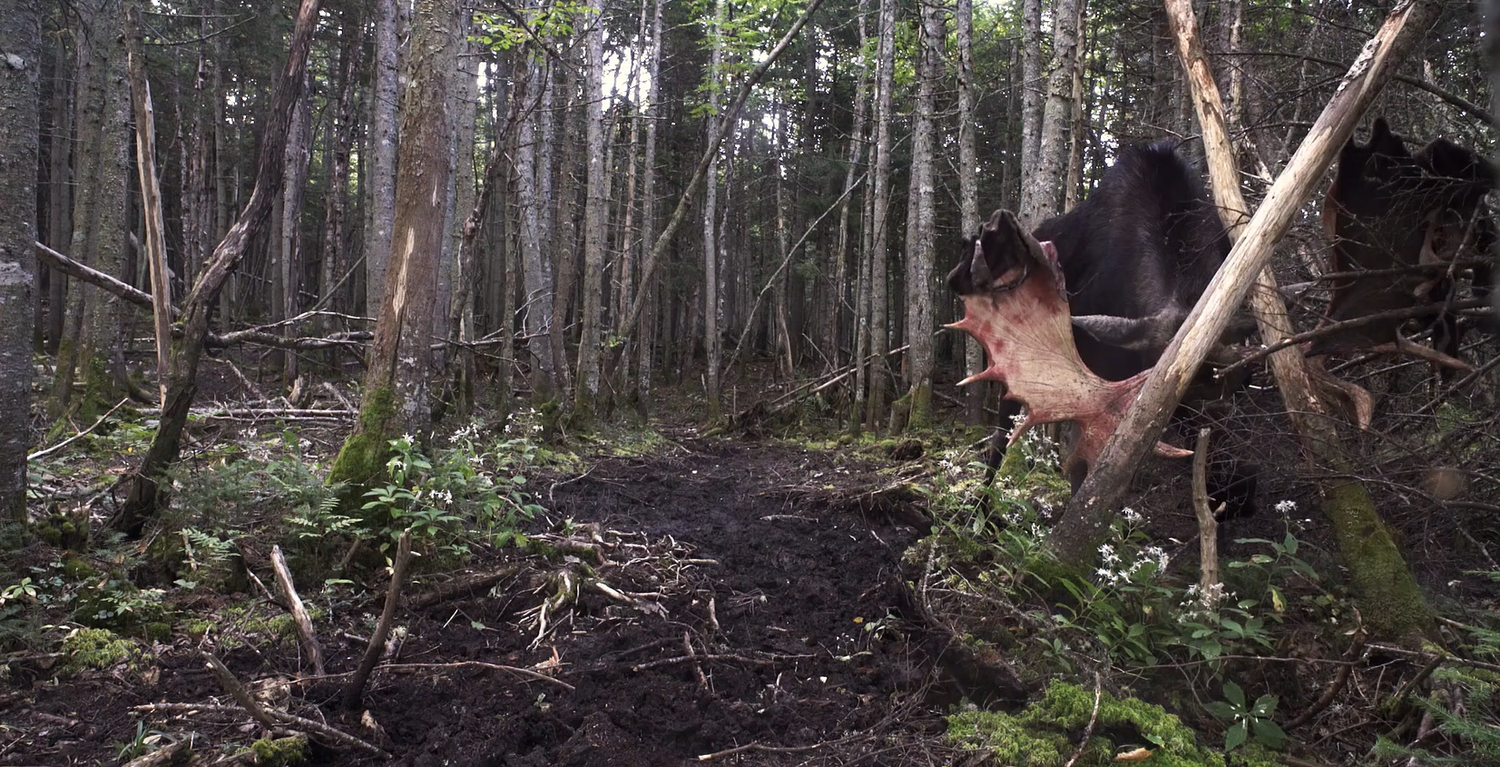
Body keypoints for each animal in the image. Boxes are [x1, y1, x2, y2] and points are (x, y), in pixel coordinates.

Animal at [948, 143, 1258, 517]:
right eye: (1176, 400)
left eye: (1242, 383)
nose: (1239, 494)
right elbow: (1086, 466)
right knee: (1002, 434)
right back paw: (979, 507)